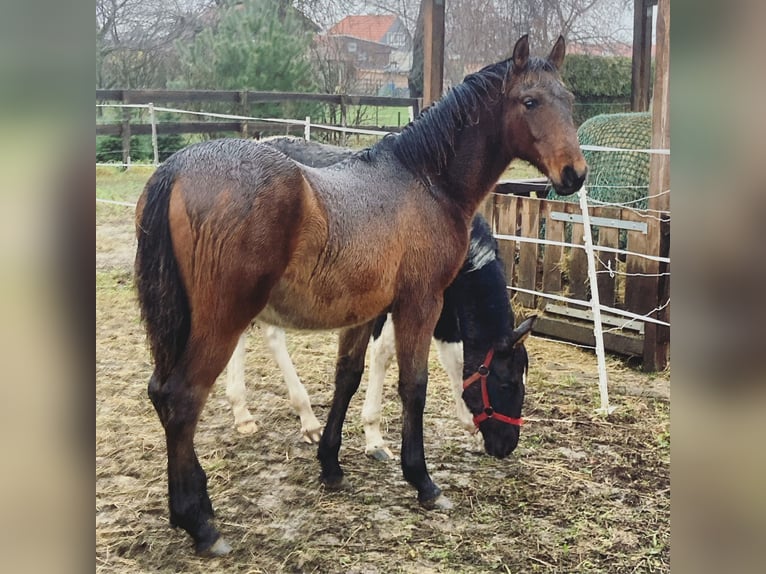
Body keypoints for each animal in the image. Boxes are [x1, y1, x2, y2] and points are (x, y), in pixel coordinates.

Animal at [222, 136, 536, 460]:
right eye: (508, 383)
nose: (507, 445)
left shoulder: (442, 309)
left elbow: (454, 357)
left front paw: (468, 424)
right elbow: (385, 352)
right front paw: (374, 437)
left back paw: (243, 412)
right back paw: (303, 418)